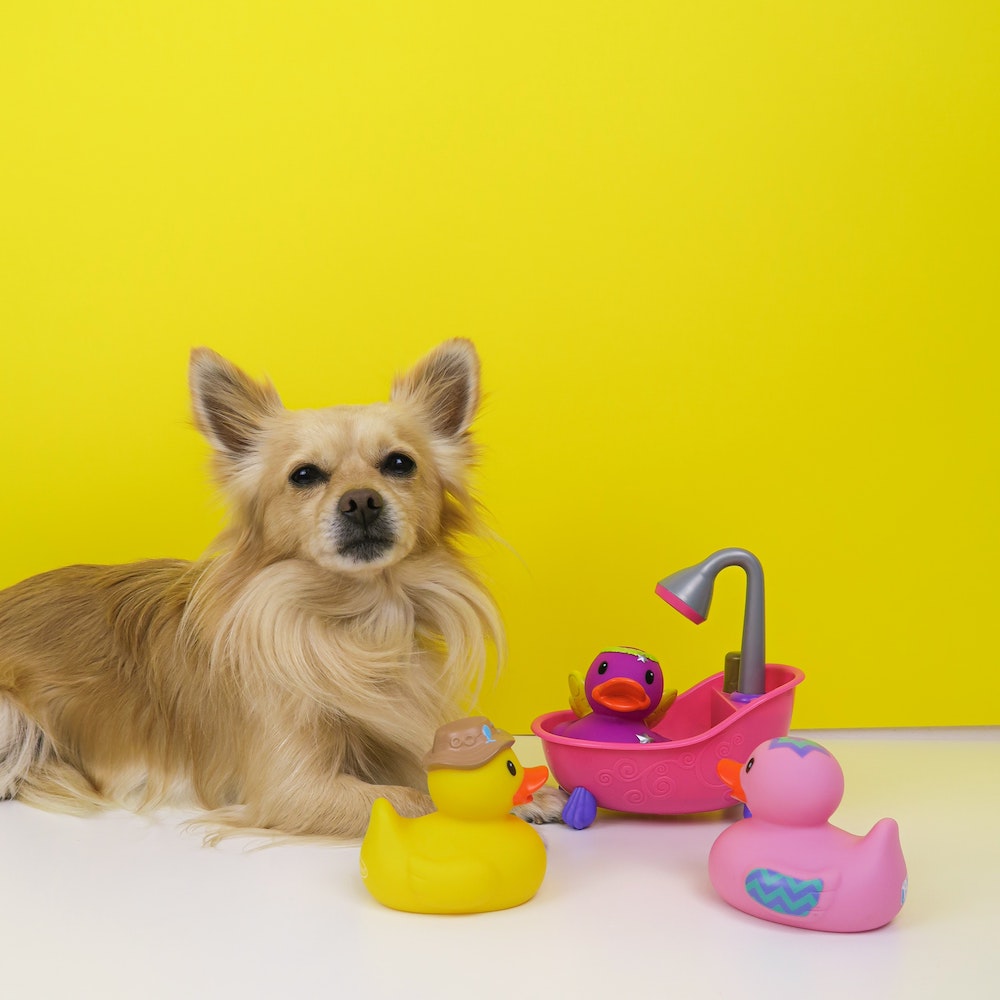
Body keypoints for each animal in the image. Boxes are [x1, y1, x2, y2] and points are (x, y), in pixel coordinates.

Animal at [0, 340, 564, 840]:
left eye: (400, 464)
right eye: (304, 475)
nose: (361, 500)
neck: (359, 622)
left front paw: (528, 792)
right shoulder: (296, 789)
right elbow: (410, 798)